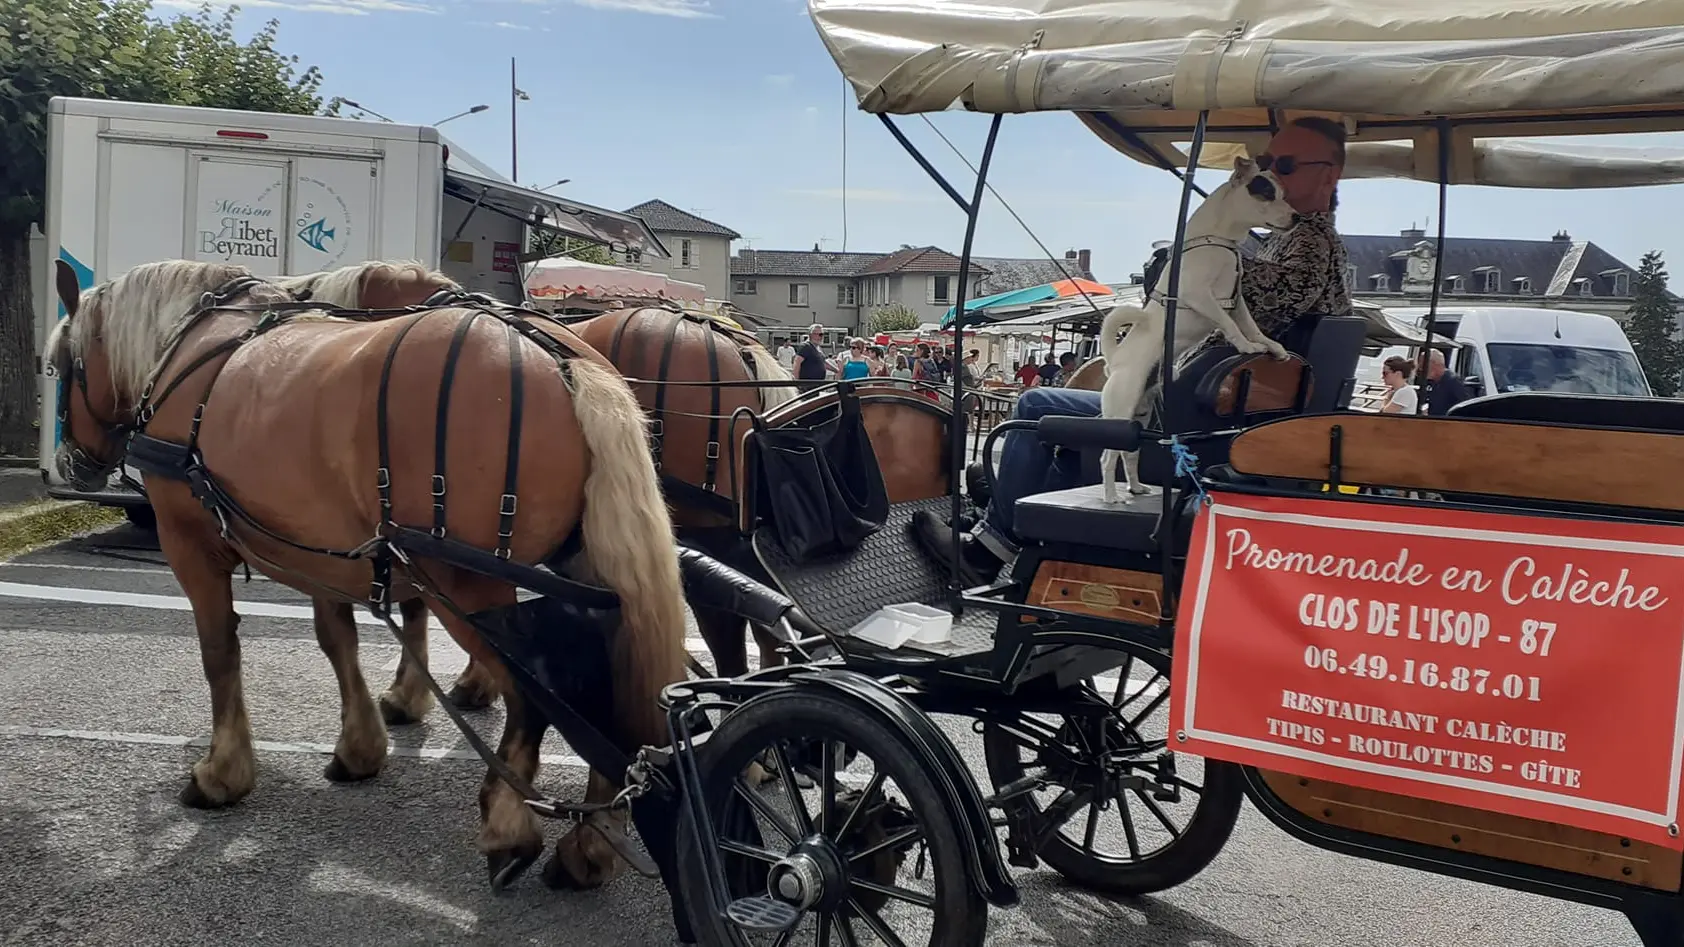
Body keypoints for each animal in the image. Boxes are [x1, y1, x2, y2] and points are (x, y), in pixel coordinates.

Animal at [47, 256, 690, 882]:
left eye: (56, 366)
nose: (71, 464)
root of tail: (562, 360)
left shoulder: (191, 547)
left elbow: (219, 652)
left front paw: (222, 772)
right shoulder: (315, 548)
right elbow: (338, 640)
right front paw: (361, 745)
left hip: (468, 584)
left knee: (540, 697)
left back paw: (510, 826)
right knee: (608, 685)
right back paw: (591, 843)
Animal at [1097, 153, 1293, 502]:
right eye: (1267, 194)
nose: (1297, 217)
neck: (1222, 241)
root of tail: (1115, 360)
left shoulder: (1236, 299)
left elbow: (1252, 326)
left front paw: (1271, 347)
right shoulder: (1201, 296)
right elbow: (1230, 325)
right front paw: (1247, 347)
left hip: (1139, 414)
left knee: (1130, 454)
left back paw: (1136, 487)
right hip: (1121, 410)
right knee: (1108, 457)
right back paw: (1110, 495)